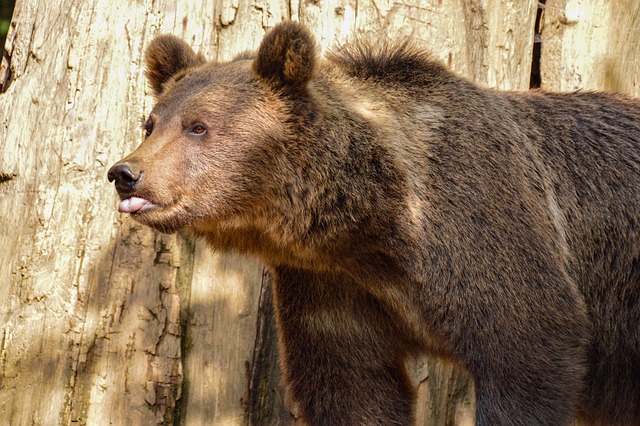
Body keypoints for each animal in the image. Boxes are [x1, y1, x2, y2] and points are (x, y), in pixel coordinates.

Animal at [107, 20, 640, 426]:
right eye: (151, 123)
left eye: (198, 126)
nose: (125, 174)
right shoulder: (334, 288)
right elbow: (352, 385)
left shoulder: (489, 235)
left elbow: (526, 349)